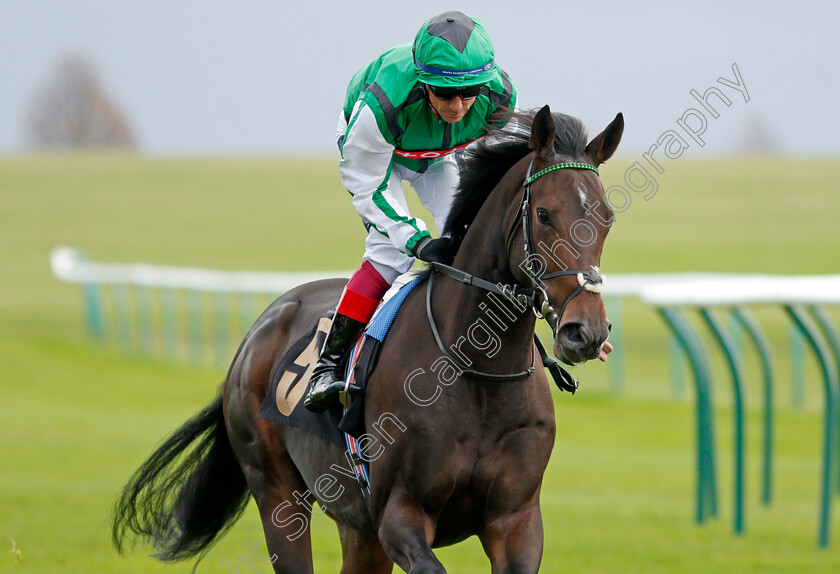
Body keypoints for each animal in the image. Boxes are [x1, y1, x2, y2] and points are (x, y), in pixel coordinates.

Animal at [111, 106, 624, 572]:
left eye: (607, 217)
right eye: (544, 214)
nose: (586, 331)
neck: (478, 374)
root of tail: (260, 329)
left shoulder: (515, 520)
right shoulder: (398, 513)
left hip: (355, 524)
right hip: (277, 492)